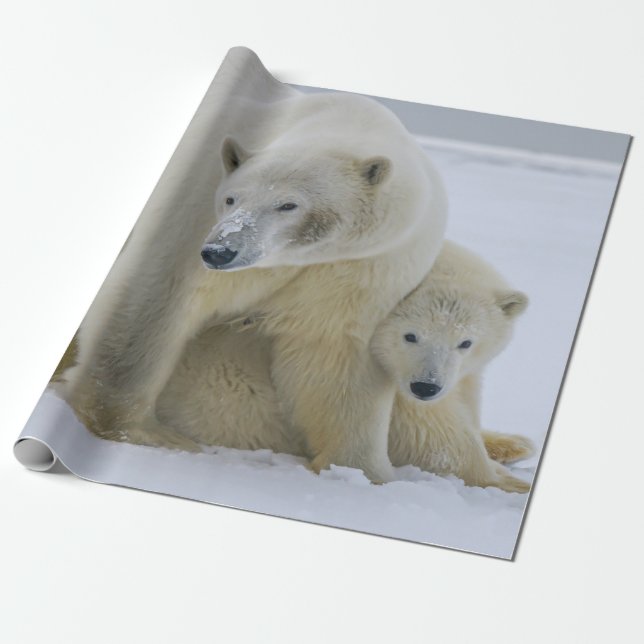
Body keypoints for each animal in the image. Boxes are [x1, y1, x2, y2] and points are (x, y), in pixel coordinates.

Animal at [56, 47, 447, 484]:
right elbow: (159, 299)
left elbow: (332, 354)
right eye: (232, 198)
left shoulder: (364, 264)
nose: (220, 251)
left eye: (288, 204)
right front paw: (137, 430)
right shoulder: (197, 211)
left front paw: (359, 471)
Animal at [371, 240, 534, 492]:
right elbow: (430, 433)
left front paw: (507, 446)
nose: (426, 387)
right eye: (410, 336)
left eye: (465, 342)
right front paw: (509, 482)